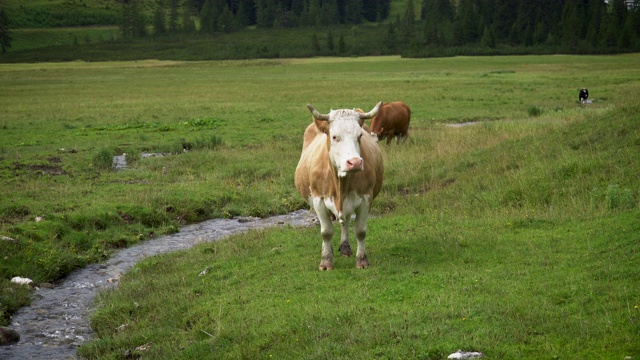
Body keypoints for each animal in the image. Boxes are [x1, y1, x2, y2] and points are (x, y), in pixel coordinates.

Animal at [296, 102, 384, 270]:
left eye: (359, 136)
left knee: (346, 220)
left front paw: (362, 260)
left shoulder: (366, 198)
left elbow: (360, 231)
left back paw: (345, 247)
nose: (355, 162)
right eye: (335, 136)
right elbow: (326, 232)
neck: (340, 183)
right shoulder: (318, 199)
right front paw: (326, 261)